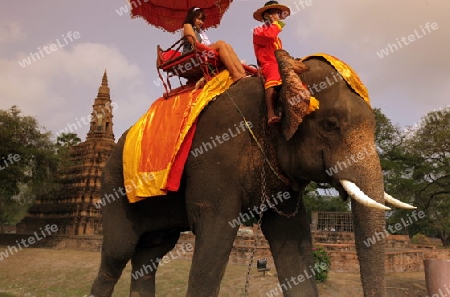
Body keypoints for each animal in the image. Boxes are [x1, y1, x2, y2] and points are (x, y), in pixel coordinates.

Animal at [90, 49, 414, 294]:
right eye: (330, 125)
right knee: (118, 252)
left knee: (150, 254)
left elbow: (291, 235)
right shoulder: (214, 155)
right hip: (113, 187)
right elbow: (216, 232)